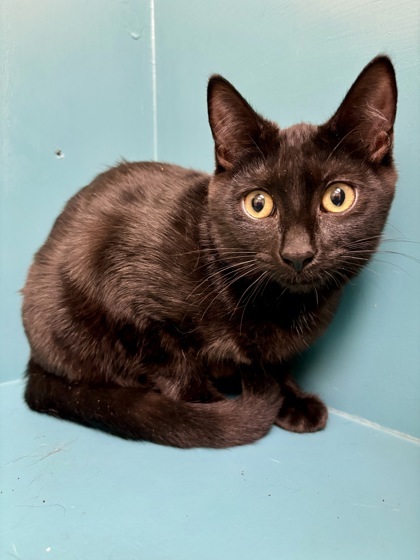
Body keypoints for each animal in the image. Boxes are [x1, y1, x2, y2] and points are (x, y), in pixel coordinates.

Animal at [21, 55, 398, 446]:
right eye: (258, 204)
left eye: (338, 197)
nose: (297, 253)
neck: (279, 306)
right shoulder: (123, 294)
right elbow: (170, 362)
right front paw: (207, 410)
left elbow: (275, 362)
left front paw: (291, 397)